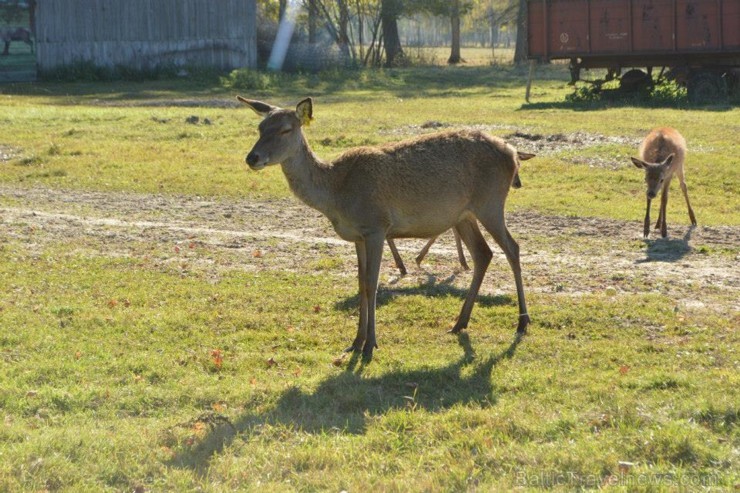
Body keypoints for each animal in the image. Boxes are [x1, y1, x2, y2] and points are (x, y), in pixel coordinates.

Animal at [240, 96, 536, 358]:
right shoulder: (358, 236)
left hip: (491, 203)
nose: (252, 158)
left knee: (513, 248)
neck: (337, 194)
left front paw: (370, 345)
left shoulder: (376, 226)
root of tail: (513, 154)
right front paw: (355, 342)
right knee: (483, 253)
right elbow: (361, 283)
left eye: (286, 129)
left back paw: (522, 322)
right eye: (260, 127)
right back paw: (459, 323)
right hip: (463, 215)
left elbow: (373, 284)